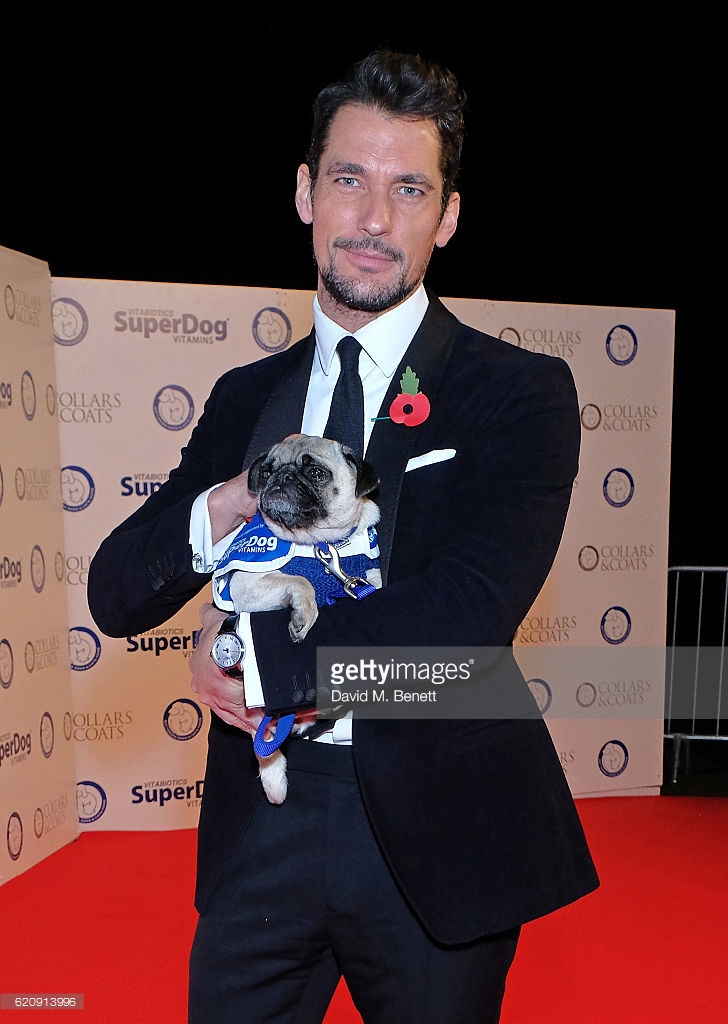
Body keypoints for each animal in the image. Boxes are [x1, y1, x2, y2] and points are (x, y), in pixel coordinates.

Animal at [211, 435, 381, 803]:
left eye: (316, 473)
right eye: (267, 471)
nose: (283, 477)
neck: (319, 545)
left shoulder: (366, 576)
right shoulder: (248, 584)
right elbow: (300, 581)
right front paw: (305, 611)